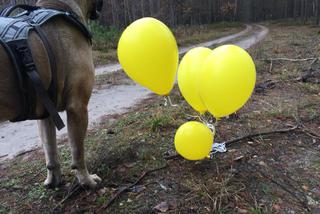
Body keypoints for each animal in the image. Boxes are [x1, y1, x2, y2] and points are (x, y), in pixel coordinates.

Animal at [0, 0, 103, 188]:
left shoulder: (46, 113)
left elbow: (50, 150)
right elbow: (78, 151)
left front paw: (53, 181)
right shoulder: (78, 107)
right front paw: (86, 180)